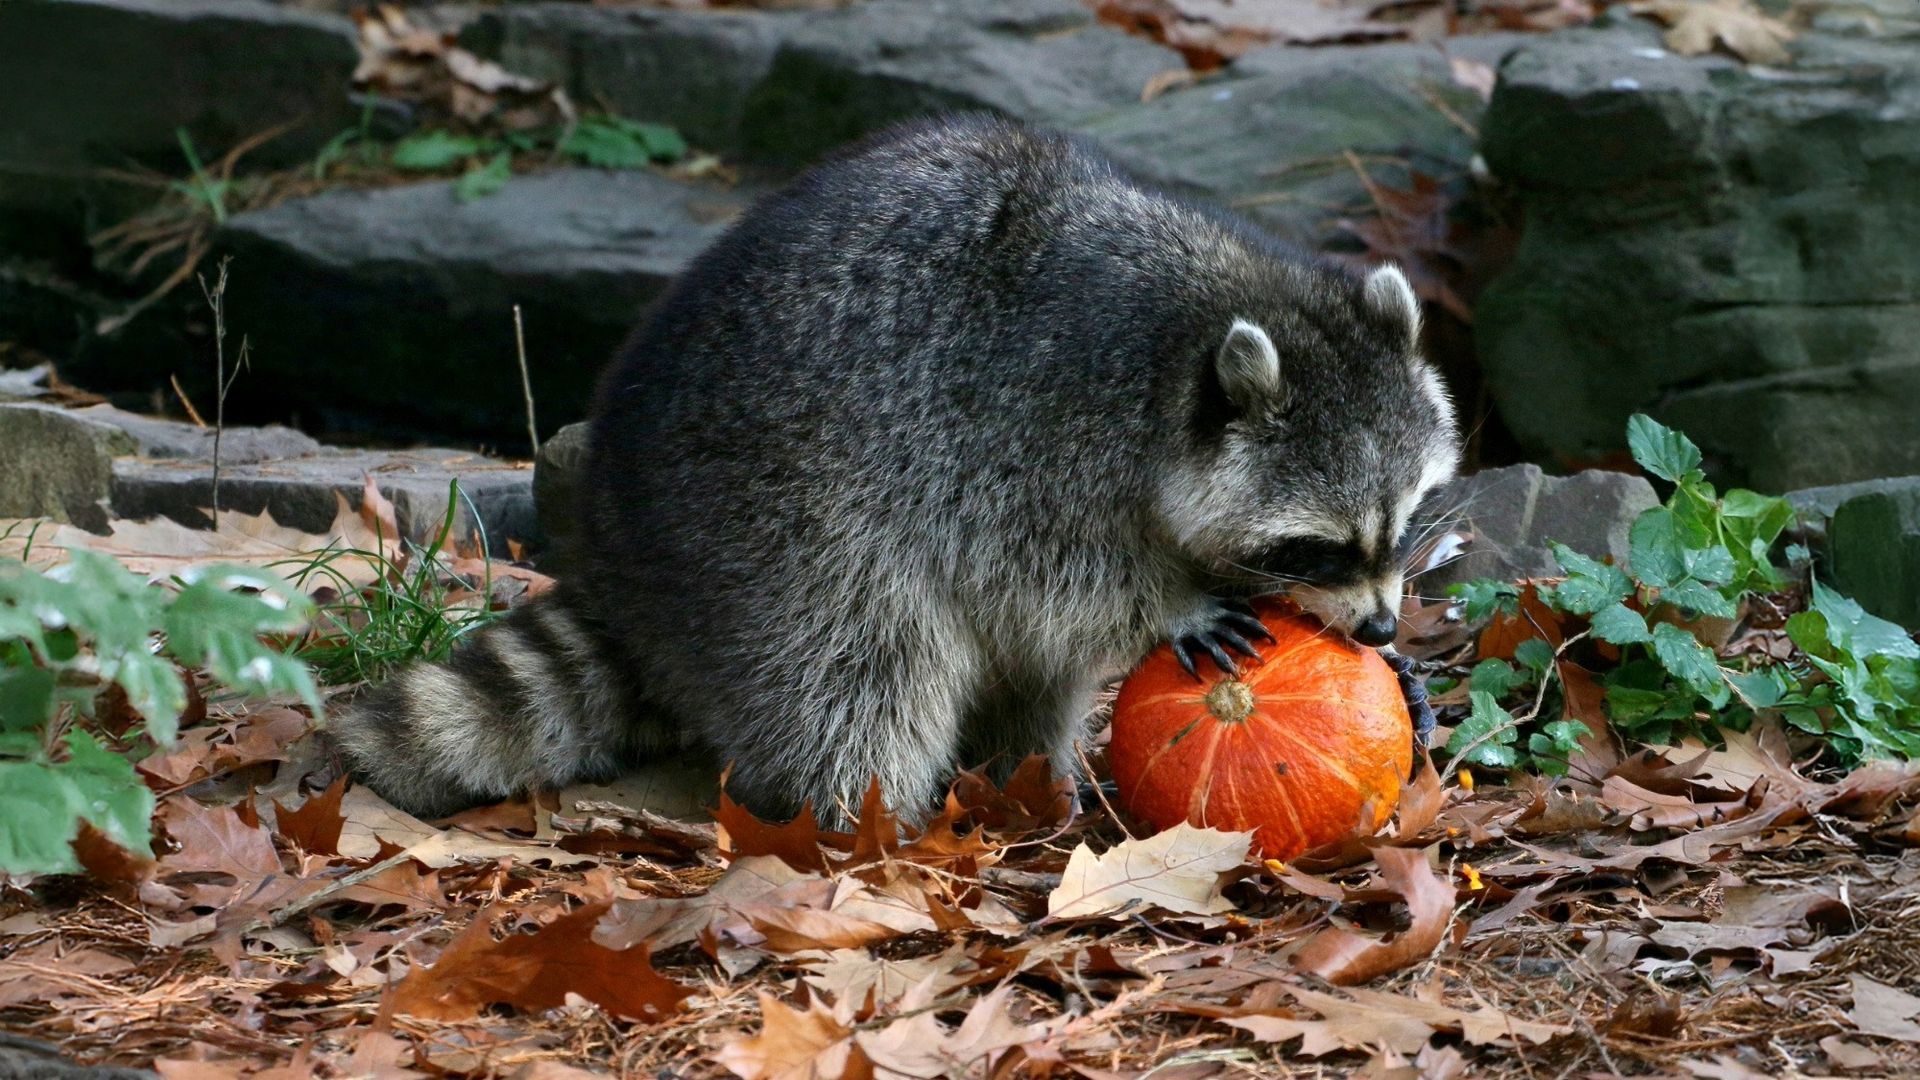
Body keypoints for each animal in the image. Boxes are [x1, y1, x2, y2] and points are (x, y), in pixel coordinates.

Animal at [326, 114, 1461, 826]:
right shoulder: (1026, 427)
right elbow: (1045, 576)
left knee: (1015, 677)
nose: (1380, 628)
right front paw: (1170, 602)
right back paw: (866, 822)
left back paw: (1026, 773)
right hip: (763, 519)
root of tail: (615, 533)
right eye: (1317, 545)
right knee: (860, 666)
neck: (1206, 311)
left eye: (1403, 524)